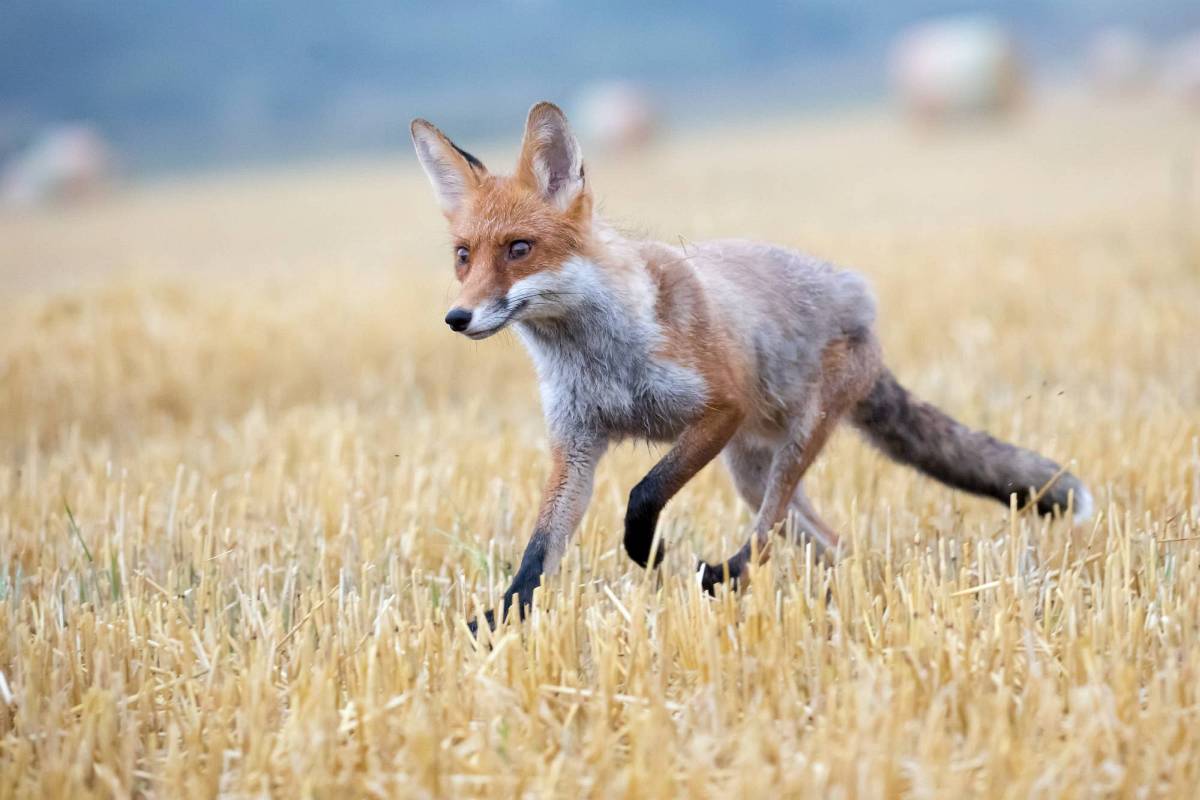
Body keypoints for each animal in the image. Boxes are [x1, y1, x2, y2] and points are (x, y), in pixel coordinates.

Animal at [410, 101, 1089, 633]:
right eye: (464, 256)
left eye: (519, 249)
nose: (457, 317)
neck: (602, 358)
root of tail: (858, 296)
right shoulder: (576, 444)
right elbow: (537, 551)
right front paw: (495, 622)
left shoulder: (720, 408)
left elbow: (644, 490)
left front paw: (645, 550)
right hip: (749, 468)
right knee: (828, 541)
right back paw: (833, 596)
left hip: (789, 446)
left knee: (765, 535)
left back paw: (725, 573)